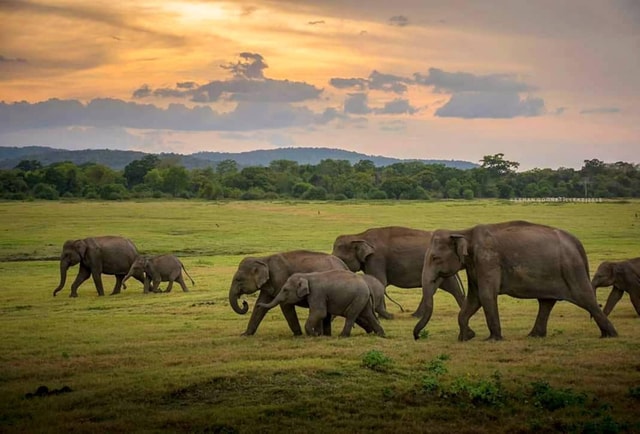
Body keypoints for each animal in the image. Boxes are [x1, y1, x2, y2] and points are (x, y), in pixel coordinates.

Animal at [257, 270, 386, 337]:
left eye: (285, 290)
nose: (258, 305)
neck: (306, 275)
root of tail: (367, 286)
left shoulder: (317, 293)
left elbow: (319, 312)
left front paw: (313, 335)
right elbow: (324, 314)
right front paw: (321, 335)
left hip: (358, 298)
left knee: (351, 315)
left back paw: (342, 336)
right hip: (362, 298)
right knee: (368, 314)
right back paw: (381, 334)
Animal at [332, 226, 466, 316]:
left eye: (341, 258)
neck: (359, 236)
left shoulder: (376, 258)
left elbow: (380, 281)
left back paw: (416, 316)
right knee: (453, 288)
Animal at [413, 220, 618, 341]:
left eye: (435, 258)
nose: (417, 337)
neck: (464, 231)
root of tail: (577, 243)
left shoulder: (488, 260)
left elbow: (485, 295)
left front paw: (492, 339)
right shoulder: (475, 265)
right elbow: (474, 298)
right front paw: (466, 337)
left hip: (572, 270)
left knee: (586, 299)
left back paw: (610, 336)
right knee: (546, 302)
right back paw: (534, 336)